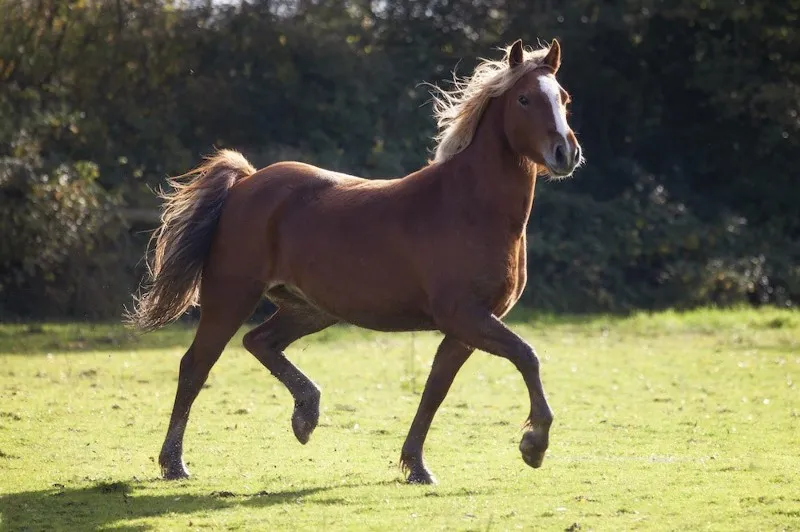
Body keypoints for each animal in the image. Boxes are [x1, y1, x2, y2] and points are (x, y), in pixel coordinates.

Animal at [127, 38, 583, 485]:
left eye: (563, 97)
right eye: (524, 98)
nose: (566, 153)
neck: (470, 207)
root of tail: (245, 182)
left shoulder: (467, 325)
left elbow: (436, 387)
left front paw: (416, 466)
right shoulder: (464, 315)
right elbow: (526, 355)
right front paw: (534, 445)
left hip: (311, 309)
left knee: (259, 341)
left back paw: (306, 415)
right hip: (231, 297)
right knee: (196, 365)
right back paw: (174, 463)